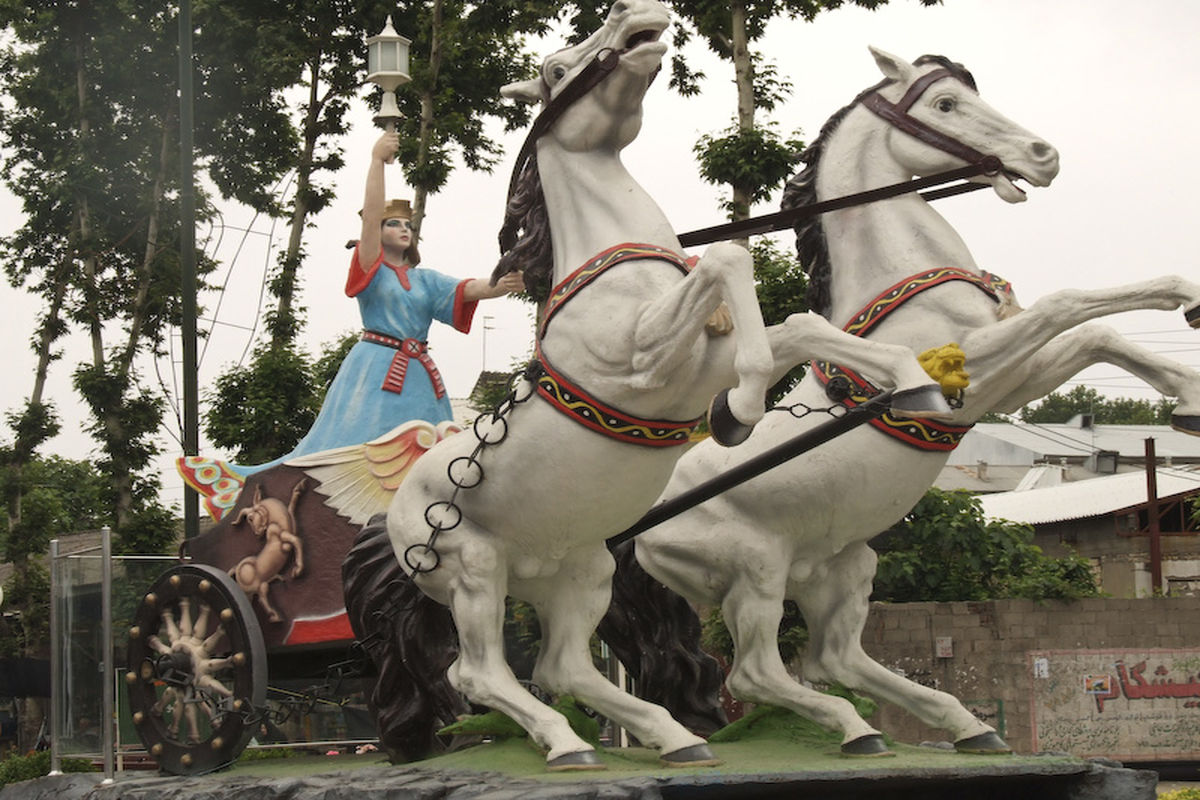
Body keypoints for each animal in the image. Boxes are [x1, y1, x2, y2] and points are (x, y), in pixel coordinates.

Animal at [369, 6, 950, 767]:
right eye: (557, 68)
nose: (632, 15)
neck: (620, 273)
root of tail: (394, 515)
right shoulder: (643, 362)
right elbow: (729, 259)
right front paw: (741, 411)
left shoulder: (705, 357)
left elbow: (797, 327)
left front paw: (916, 387)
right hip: (473, 569)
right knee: (480, 673)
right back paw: (569, 744)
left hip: (577, 570)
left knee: (563, 666)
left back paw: (675, 738)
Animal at [628, 48, 1200, 758]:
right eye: (945, 104)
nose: (1043, 155)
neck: (906, 271)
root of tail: (634, 529)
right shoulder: (974, 365)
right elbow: (1069, 305)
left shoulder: (1012, 379)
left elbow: (1099, 333)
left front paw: (1188, 384)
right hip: (753, 572)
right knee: (757, 673)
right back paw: (856, 730)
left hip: (841, 565)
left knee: (836, 659)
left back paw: (966, 726)